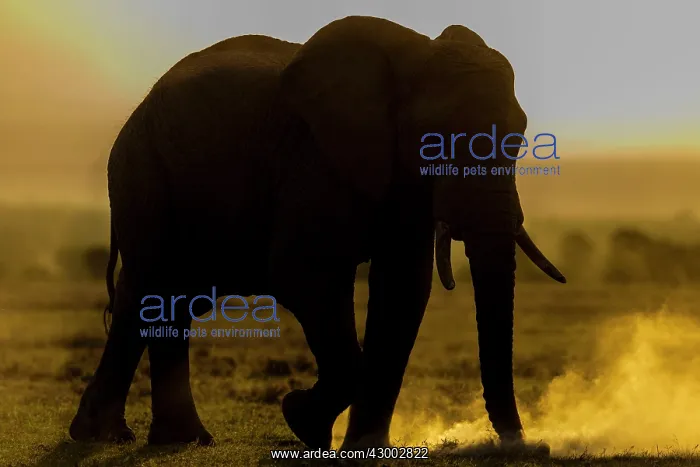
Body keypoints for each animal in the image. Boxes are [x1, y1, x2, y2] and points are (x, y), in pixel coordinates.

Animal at [69, 15, 565, 451]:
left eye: (521, 138)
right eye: (434, 141)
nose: (525, 444)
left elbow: (403, 289)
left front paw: (363, 446)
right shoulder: (313, 159)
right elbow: (304, 274)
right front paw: (301, 419)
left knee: (166, 295)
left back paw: (164, 439)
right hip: (142, 169)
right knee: (153, 286)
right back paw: (121, 438)